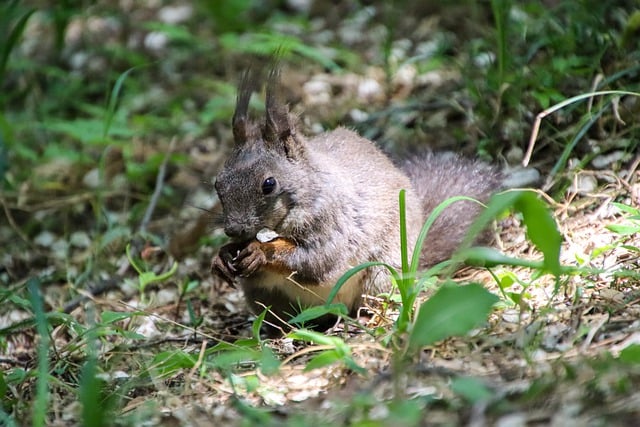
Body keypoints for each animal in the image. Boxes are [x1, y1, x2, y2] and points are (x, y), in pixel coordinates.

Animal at [212, 67, 502, 332]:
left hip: (383, 273)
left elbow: (316, 260)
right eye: (218, 183)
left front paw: (261, 251)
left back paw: (365, 318)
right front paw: (222, 256)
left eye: (269, 184)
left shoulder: (334, 223)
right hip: (266, 298)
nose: (233, 229)